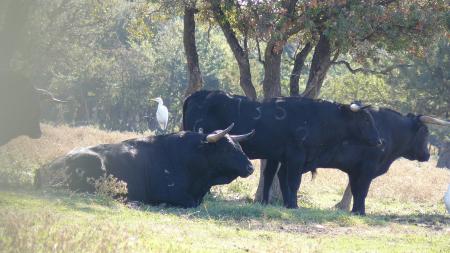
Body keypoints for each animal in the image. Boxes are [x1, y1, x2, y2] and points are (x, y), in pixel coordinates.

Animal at [183, 89, 384, 210]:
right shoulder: (296, 156)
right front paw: (294, 205)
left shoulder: (282, 157)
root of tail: (199, 94)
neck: (316, 117)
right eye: (365, 119)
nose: (379, 141)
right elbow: (293, 182)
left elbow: (278, 179)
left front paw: (282, 203)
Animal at [296, 109, 450, 214]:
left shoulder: (354, 171)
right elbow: (362, 191)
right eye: (426, 131)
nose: (427, 155)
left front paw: (355, 211)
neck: (389, 131)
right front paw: (360, 212)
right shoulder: (367, 170)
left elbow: (355, 191)